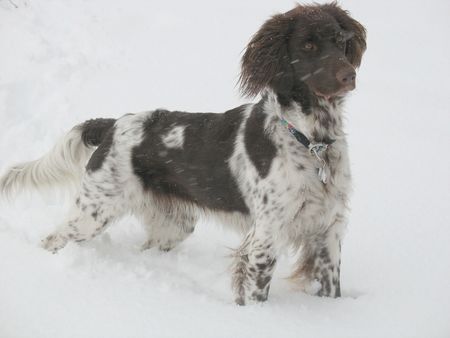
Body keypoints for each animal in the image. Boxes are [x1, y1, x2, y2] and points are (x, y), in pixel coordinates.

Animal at [0, 2, 366, 304]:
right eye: (308, 45)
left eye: (339, 40)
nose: (349, 75)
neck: (313, 142)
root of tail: (113, 123)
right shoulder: (265, 236)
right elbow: (256, 293)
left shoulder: (329, 230)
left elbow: (331, 289)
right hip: (94, 211)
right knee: (53, 238)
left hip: (174, 224)